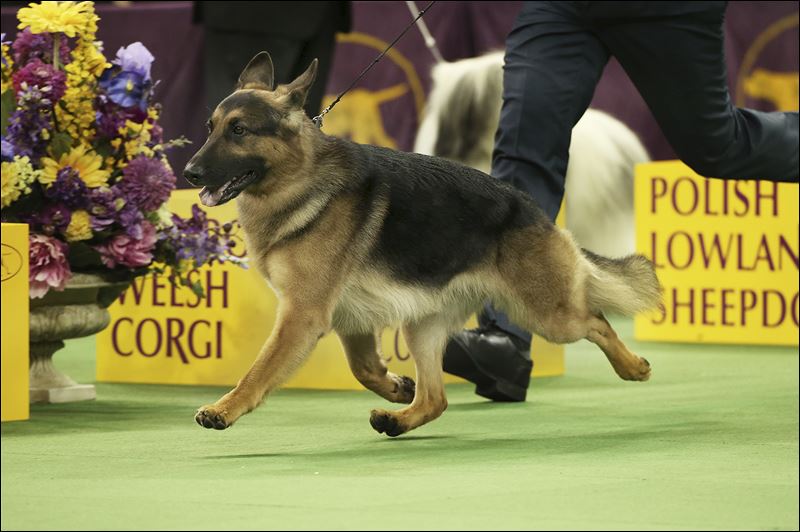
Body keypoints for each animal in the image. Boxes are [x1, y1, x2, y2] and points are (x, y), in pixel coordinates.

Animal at [183, 53, 664, 436]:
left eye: (239, 130)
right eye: (210, 128)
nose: (188, 172)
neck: (300, 180)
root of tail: (533, 209)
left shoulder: (302, 316)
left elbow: (259, 371)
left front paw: (224, 409)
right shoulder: (347, 319)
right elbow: (364, 369)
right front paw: (397, 387)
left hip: (550, 315)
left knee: (597, 321)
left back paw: (633, 366)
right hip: (423, 327)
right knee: (436, 399)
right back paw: (398, 419)